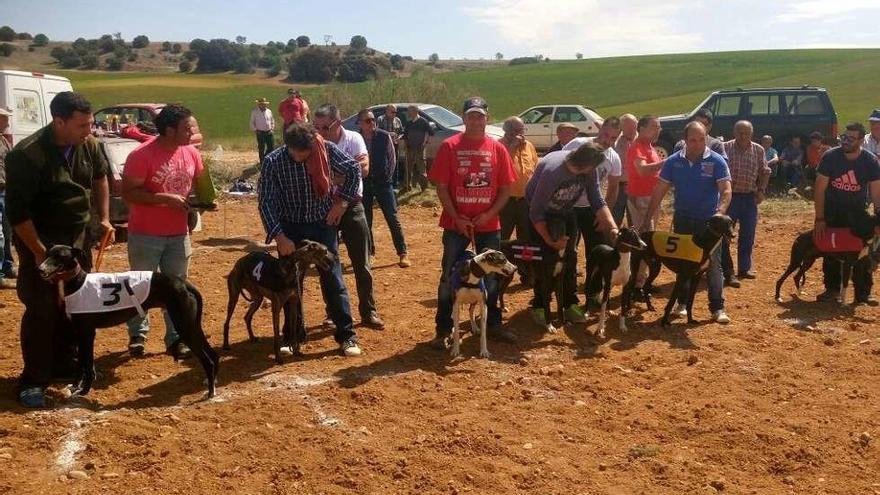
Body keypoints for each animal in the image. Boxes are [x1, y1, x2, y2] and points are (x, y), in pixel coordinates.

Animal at [39, 247, 220, 400]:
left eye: (59, 256)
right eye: (48, 253)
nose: (40, 269)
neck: (78, 282)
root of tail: (183, 283)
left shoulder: (88, 333)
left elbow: (88, 365)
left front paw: (84, 391)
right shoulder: (79, 333)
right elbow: (81, 364)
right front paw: (75, 386)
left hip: (184, 326)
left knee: (207, 359)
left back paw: (210, 392)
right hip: (192, 325)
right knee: (213, 354)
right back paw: (211, 384)